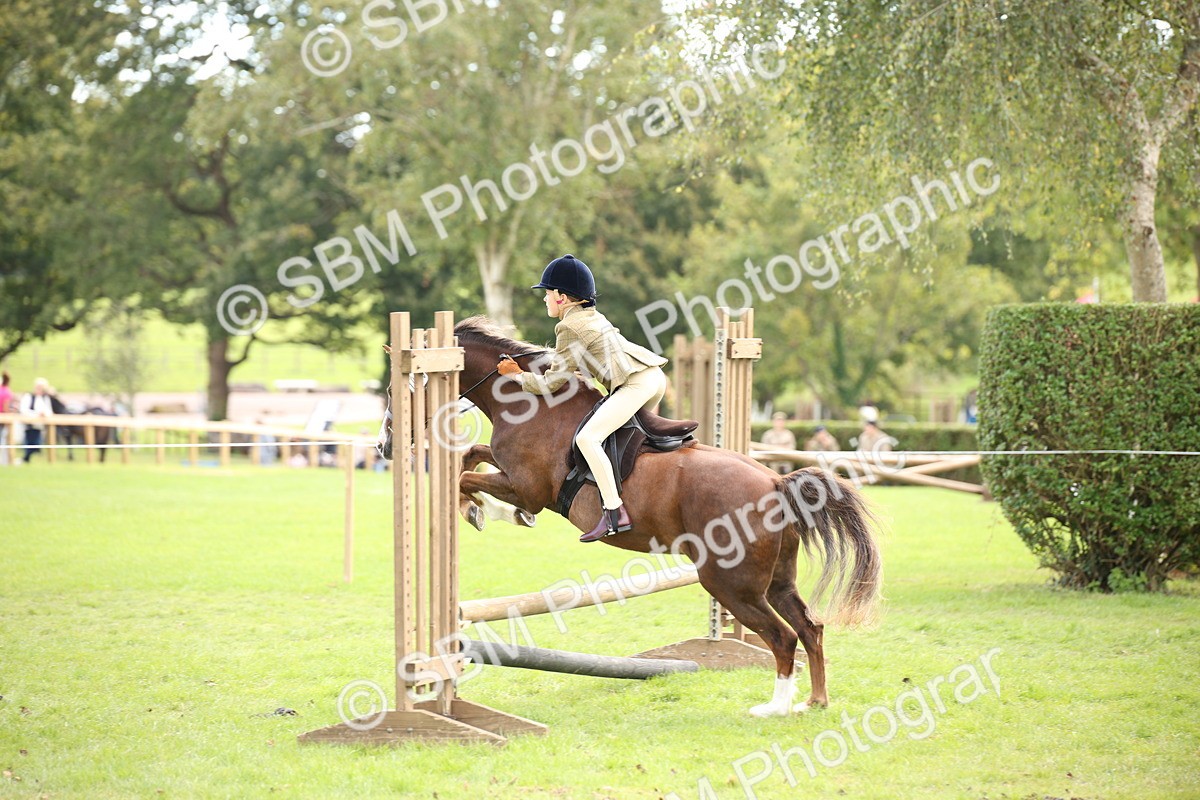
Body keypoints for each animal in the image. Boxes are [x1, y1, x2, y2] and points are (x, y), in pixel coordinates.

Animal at [452, 317, 882, 717]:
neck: (530, 404)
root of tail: (776, 483)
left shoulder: (527, 488)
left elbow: (465, 477)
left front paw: (478, 510)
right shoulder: (511, 475)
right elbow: (471, 456)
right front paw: (484, 509)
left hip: (732, 584)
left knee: (782, 637)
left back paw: (774, 708)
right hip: (776, 581)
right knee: (810, 628)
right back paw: (814, 701)